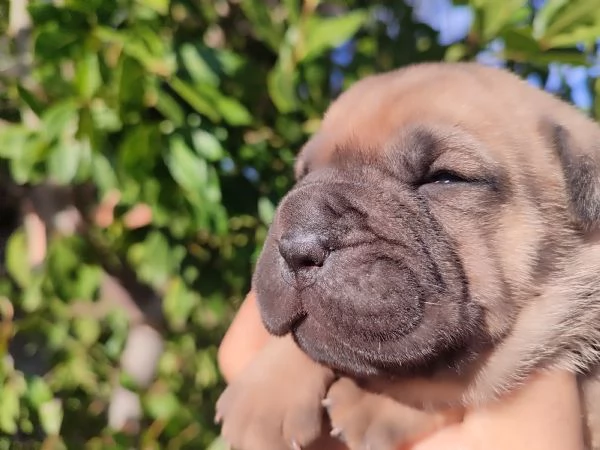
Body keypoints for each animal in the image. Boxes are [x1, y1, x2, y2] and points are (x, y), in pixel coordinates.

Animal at [216, 62, 600, 450]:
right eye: (303, 175)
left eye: (446, 178)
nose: (296, 245)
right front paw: (265, 395)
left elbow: (465, 379)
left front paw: (371, 404)